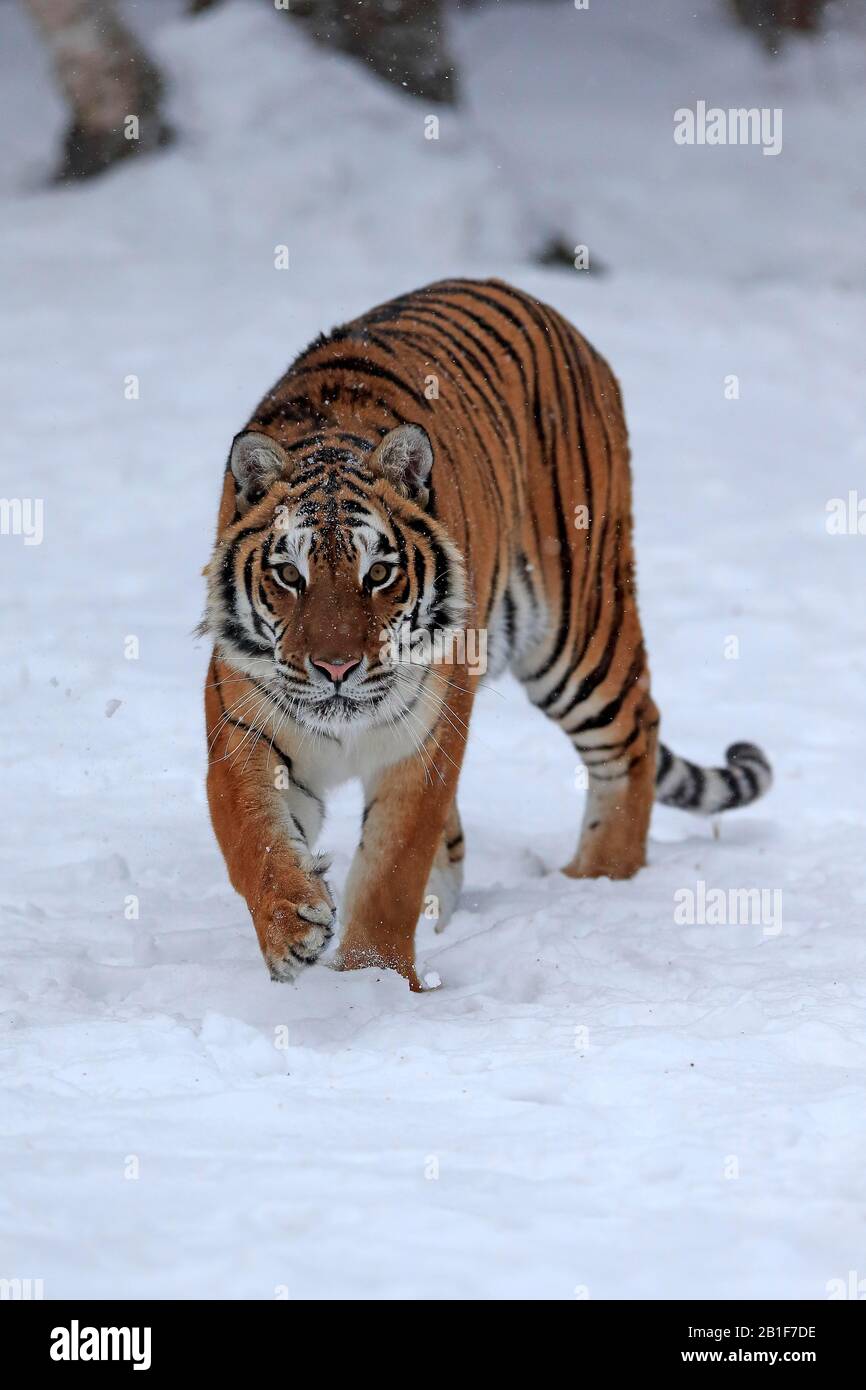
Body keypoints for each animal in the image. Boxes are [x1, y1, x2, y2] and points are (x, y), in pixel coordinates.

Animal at [202, 273, 772, 989]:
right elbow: (248, 830)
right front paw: (293, 928)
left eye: (378, 573)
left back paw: (594, 883)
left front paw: (371, 982)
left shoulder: (426, 736)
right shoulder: (242, 718)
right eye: (289, 574)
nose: (335, 668)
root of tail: (539, 303)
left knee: (634, 735)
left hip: (578, 632)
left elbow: (391, 869)